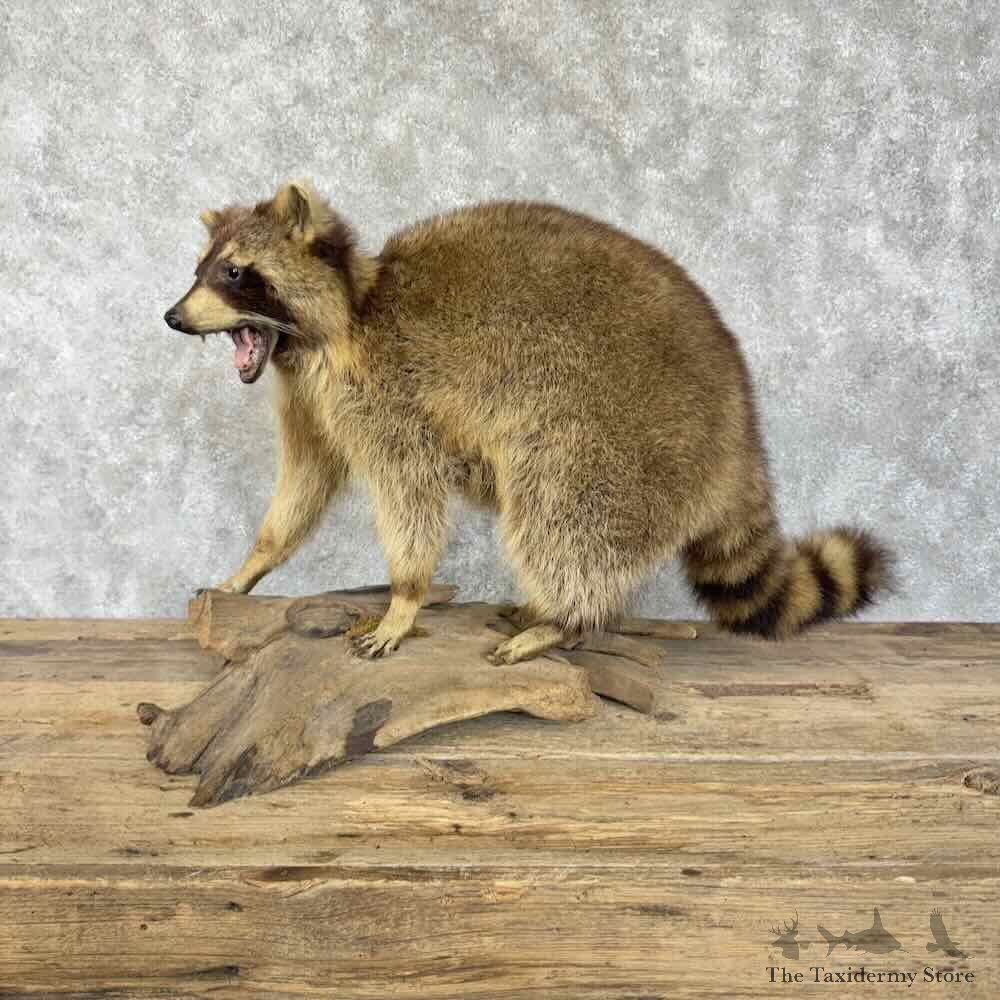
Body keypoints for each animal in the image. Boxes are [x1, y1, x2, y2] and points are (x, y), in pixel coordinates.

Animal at [164, 182, 894, 663]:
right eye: (201, 269)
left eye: (235, 272)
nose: (171, 317)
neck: (341, 319)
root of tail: (741, 429)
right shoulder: (311, 400)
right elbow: (305, 483)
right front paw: (252, 563)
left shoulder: (389, 398)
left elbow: (410, 494)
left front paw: (405, 595)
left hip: (618, 440)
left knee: (556, 516)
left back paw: (567, 619)